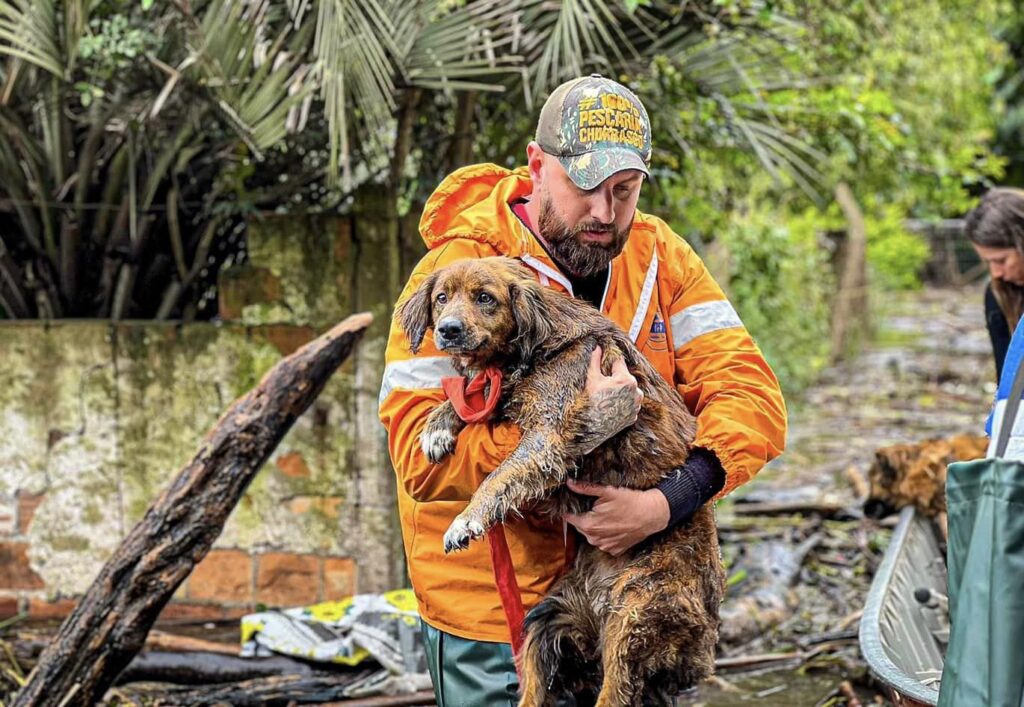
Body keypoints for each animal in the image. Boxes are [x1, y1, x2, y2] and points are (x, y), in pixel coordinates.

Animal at [395, 256, 724, 700]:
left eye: (485, 298)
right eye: (441, 298)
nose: (448, 329)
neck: (532, 348)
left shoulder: (549, 434)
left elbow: (498, 475)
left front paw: (468, 519)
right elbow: (467, 395)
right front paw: (438, 426)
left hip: (635, 615)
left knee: (614, 692)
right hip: (546, 620)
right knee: (533, 689)